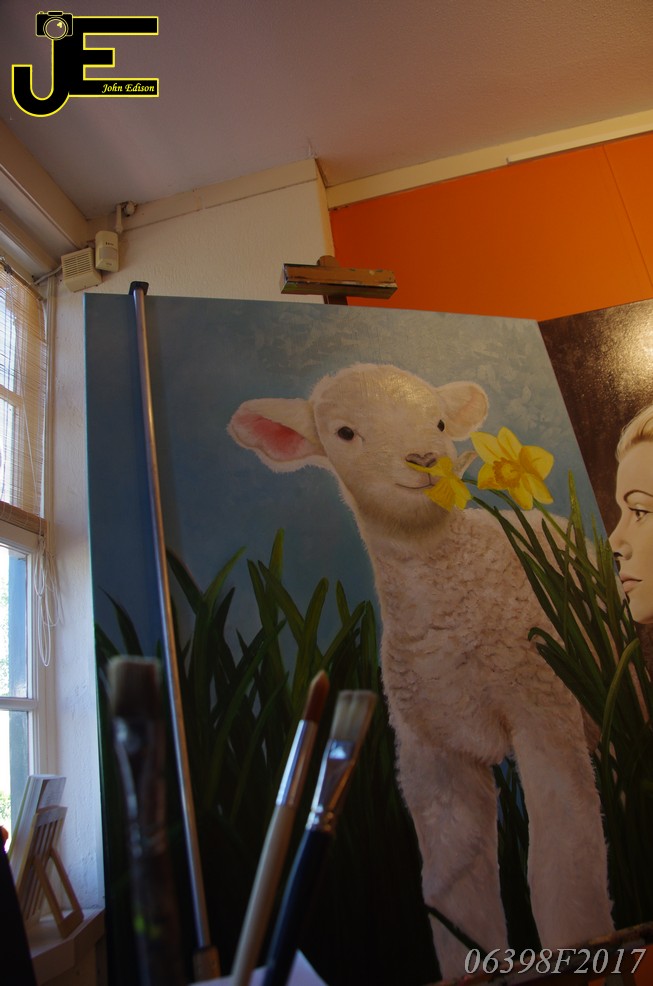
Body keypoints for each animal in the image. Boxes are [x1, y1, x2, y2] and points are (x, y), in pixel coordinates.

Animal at [227, 362, 613, 979]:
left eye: (439, 422)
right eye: (344, 433)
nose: (426, 459)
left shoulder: (542, 703)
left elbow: (563, 854)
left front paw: (579, 947)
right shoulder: (430, 753)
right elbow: (453, 886)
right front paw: (469, 969)